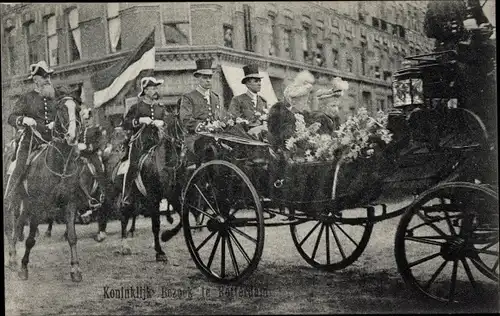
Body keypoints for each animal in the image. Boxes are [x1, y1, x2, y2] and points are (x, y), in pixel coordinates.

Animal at [4, 97, 88, 282]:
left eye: (77, 109)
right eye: (61, 109)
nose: (72, 136)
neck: (58, 165)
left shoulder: (69, 204)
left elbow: (72, 237)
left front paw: (75, 270)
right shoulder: (38, 206)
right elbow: (30, 240)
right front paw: (24, 268)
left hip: (25, 202)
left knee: (18, 224)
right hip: (14, 200)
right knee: (10, 225)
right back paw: (12, 258)